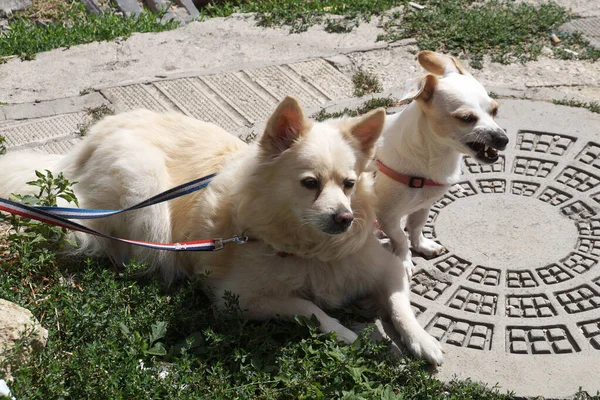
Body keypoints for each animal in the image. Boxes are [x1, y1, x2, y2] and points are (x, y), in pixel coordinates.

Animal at [0, 97, 446, 366]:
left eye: (350, 184)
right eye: (310, 183)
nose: (344, 218)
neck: (308, 249)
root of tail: (83, 146)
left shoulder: (384, 269)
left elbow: (401, 306)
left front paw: (421, 341)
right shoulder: (239, 299)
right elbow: (311, 309)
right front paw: (349, 334)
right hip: (146, 195)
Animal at [378, 50, 508, 278]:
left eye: (494, 110)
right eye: (466, 118)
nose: (503, 139)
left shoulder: (423, 205)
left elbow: (416, 227)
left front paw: (422, 246)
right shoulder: (387, 217)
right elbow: (401, 239)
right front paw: (404, 261)